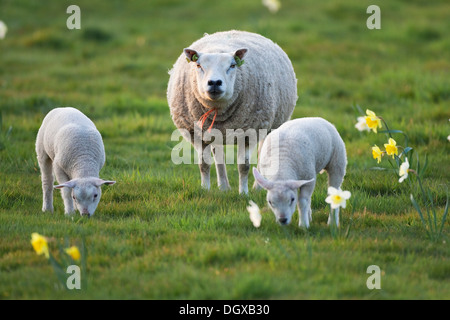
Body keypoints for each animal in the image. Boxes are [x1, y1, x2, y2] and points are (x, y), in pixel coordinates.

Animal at [167, 30, 298, 194]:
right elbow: (204, 164)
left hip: (269, 126)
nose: (214, 82)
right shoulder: (196, 134)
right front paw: (205, 190)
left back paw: (258, 187)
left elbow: (244, 166)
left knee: (262, 153)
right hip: (214, 132)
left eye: (232, 65)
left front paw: (243, 193)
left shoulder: (249, 133)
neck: (218, 110)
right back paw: (224, 187)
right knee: (219, 156)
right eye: (198, 65)